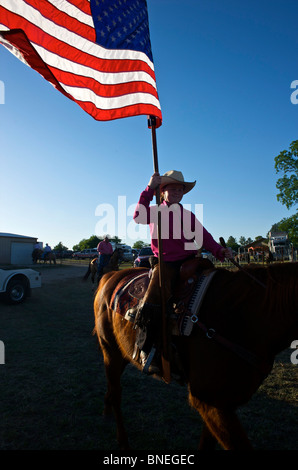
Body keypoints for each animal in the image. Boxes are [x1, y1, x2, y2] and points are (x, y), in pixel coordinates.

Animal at [93, 262, 298, 450]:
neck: (240, 318)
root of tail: (110, 276)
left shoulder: (222, 402)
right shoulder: (209, 401)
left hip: (122, 354)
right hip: (110, 350)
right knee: (117, 392)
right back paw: (122, 441)